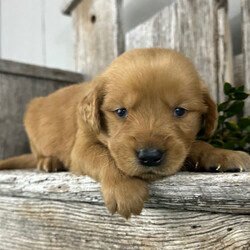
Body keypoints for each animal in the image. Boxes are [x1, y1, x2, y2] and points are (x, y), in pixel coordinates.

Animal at [0, 48, 250, 217]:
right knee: (38, 153)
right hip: (31, 119)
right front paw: (125, 188)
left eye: (180, 111)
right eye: (121, 111)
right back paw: (48, 161)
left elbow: (196, 144)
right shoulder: (81, 147)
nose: (150, 156)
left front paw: (222, 154)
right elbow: (105, 155)